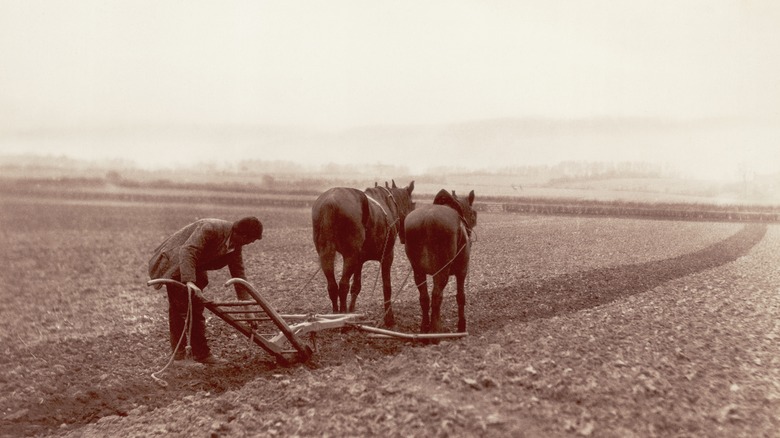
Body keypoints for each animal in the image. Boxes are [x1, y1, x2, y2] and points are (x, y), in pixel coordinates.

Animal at [310, 180, 414, 326]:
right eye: (413, 204)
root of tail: (330, 201)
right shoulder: (387, 256)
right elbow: (387, 287)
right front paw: (389, 318)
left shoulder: (359, 261)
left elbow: (356, 287)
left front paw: (353, 312)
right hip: (350, 256)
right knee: (343, 285)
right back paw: (343, 318)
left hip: (327, 254)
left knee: (332, 286)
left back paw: (336, 316)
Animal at [402, 188, 476, 336]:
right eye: (473, 215)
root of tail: (426, 220)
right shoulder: (462, 271)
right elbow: (460, 297)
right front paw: (461, 326)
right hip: (441, 271)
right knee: (436, 296)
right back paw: (436, 331)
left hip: (418, 271)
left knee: (424, 298)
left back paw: (425, 327)